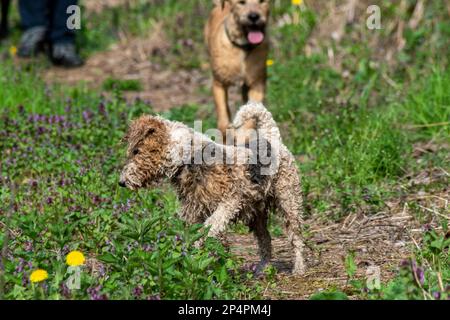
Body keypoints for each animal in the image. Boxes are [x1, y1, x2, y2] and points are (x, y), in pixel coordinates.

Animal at [118, 102, 306, 276]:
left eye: (136, 151)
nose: (121, 182)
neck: (188, 158)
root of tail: (272, 138)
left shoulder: (230, 201)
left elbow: (209, 227)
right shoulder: (193, 212)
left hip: (289, 200)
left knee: (296, 238)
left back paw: (299, 268)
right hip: (256, 213)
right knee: (265, 240)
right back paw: (261, 269)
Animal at [205, 0, 270, 136]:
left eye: (262, 2)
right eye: (241, 3)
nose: (254, 16)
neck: (243, 48)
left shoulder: (257, 85)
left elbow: (251, 115)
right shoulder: (218, 84)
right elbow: (223, 115)